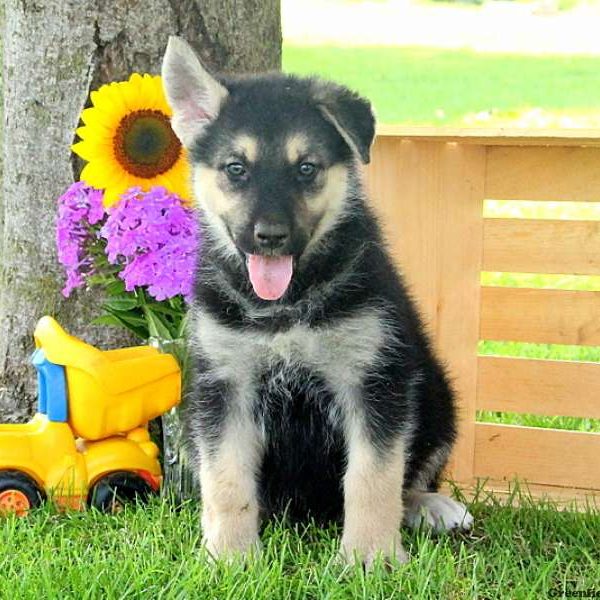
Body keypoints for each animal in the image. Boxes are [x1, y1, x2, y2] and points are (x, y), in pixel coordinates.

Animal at [162, 37, 472, 568]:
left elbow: (373, 477)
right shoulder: (226, 388)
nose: (270, 237)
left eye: (306, 168)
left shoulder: (373, 382)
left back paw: (431, 505)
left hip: (436, 393)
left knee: (412, 476)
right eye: (236, 169)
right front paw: (231, 557)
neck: (284, 308)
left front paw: (371, 558)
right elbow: (227, 481)